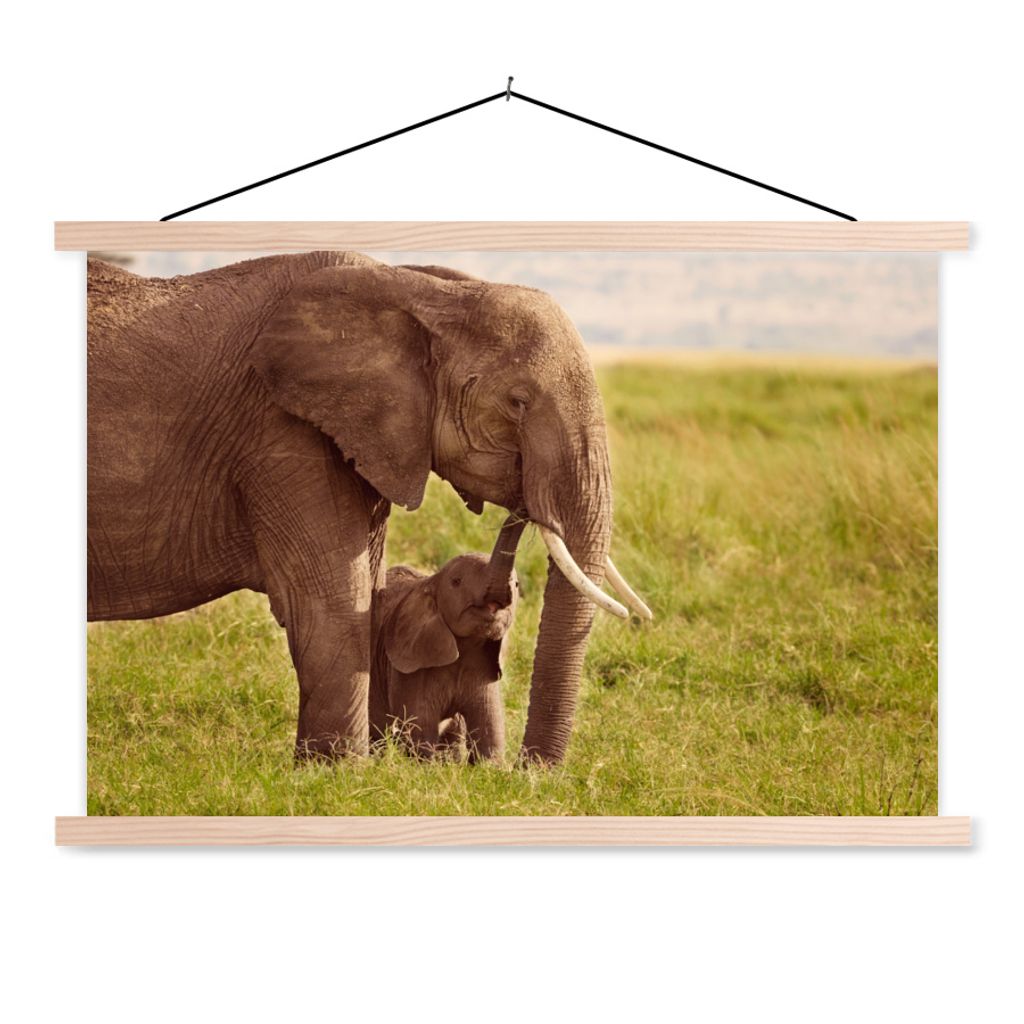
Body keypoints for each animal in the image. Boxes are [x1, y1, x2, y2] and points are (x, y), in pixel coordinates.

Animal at [371, 515, 523, 761]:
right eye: (456, 582)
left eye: (517, 585)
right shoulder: (409, 669)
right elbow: (420, 727)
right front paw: (425, 764)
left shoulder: (484, 666)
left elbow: (489, 729)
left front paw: (490, 766)